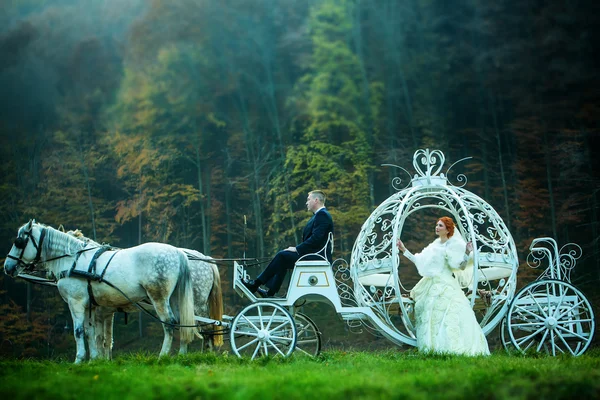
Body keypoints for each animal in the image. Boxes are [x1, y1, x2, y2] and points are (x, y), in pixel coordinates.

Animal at [4, 220, 197, 364]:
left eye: (19, 242)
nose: (7, 267)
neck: (72, 261)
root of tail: (178, 252)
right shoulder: (91, 306)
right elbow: (91, 333)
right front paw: (94, 360)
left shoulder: (76, 302)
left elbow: (79, 331)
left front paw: (79, 360)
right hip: (174, 298)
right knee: (182, 322)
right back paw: (181, 355)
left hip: (158, 298)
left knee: (169, 323)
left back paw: (162, 356)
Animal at [66, 230, 225, 358]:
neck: (92, 265)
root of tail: (205, 259)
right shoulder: (106, 312)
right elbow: (106, 339)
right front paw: (104, 360)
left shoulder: (98, 311)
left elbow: (100, 338)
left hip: (196, 303)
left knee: (207, 327)